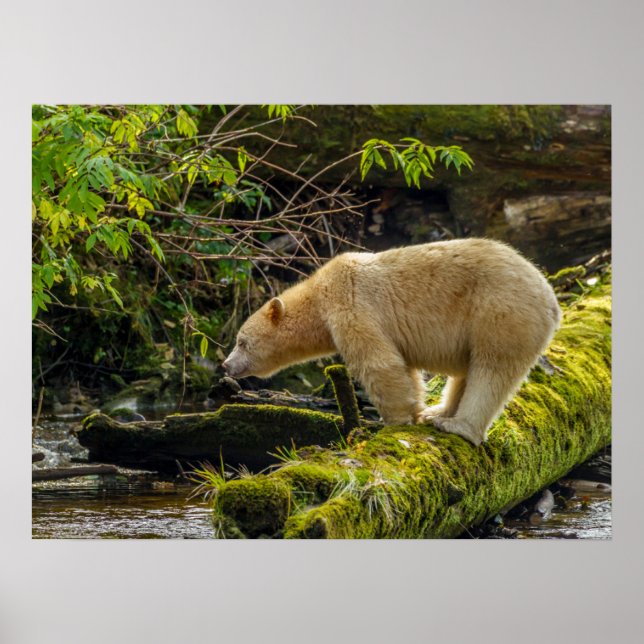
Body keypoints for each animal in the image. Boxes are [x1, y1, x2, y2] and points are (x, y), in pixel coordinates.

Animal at [222, 238, 561, 446]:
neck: (318, 295)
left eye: (242, 341)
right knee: (468, 370)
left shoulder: (350, 304)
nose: (225, 365)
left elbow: (379, 363)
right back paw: (438, 412)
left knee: (492, 369)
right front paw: (416, 411)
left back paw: (458, 425)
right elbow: (404, 367)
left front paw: (395, 422)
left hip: (500, 311)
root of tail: (551, 300)